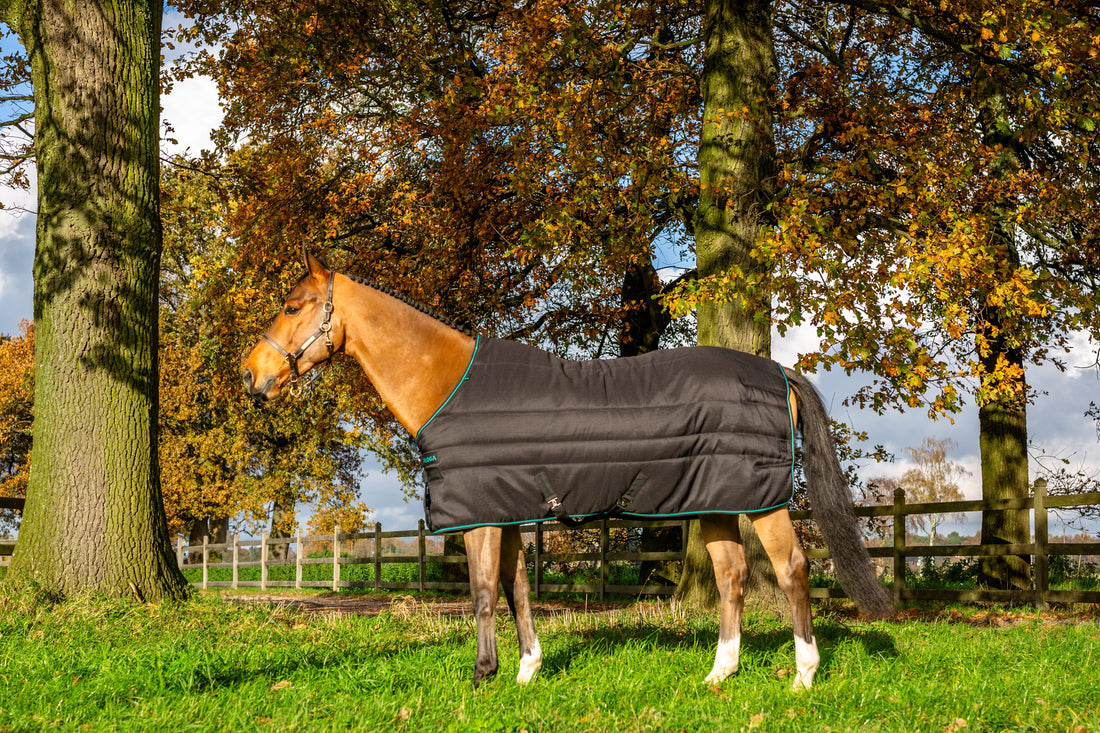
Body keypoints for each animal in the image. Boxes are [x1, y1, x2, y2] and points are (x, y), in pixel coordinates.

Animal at [242, 248, 894, 690]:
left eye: (292, 306)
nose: (252, 375)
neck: (448, 383)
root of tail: (776, 371)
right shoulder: (504, 509)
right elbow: (517, 589)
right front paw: (526, 670)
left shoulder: (481, 515)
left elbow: (483, 592)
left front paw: (483, 676)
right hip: (716, 500)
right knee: (732, 576)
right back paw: (719, 675)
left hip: (764, 502)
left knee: (791, 570)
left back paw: (803, 675)